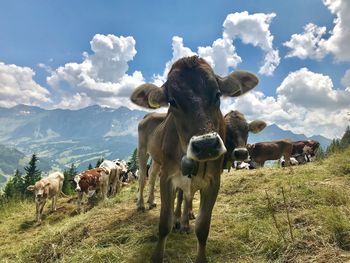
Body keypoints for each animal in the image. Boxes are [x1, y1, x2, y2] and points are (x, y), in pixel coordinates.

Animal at [130, 56, 258, 263]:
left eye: (217, 94)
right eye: (172, 101)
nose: (206, 145)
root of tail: (149, 114)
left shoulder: (213, 181)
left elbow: (202, 226)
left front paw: (186, 223)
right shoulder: (168, 177)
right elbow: (164, 223)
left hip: (157, 160)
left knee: (152, 178)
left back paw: (151, 202)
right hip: (142, 151)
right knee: (143, 177)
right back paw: (141, 204)